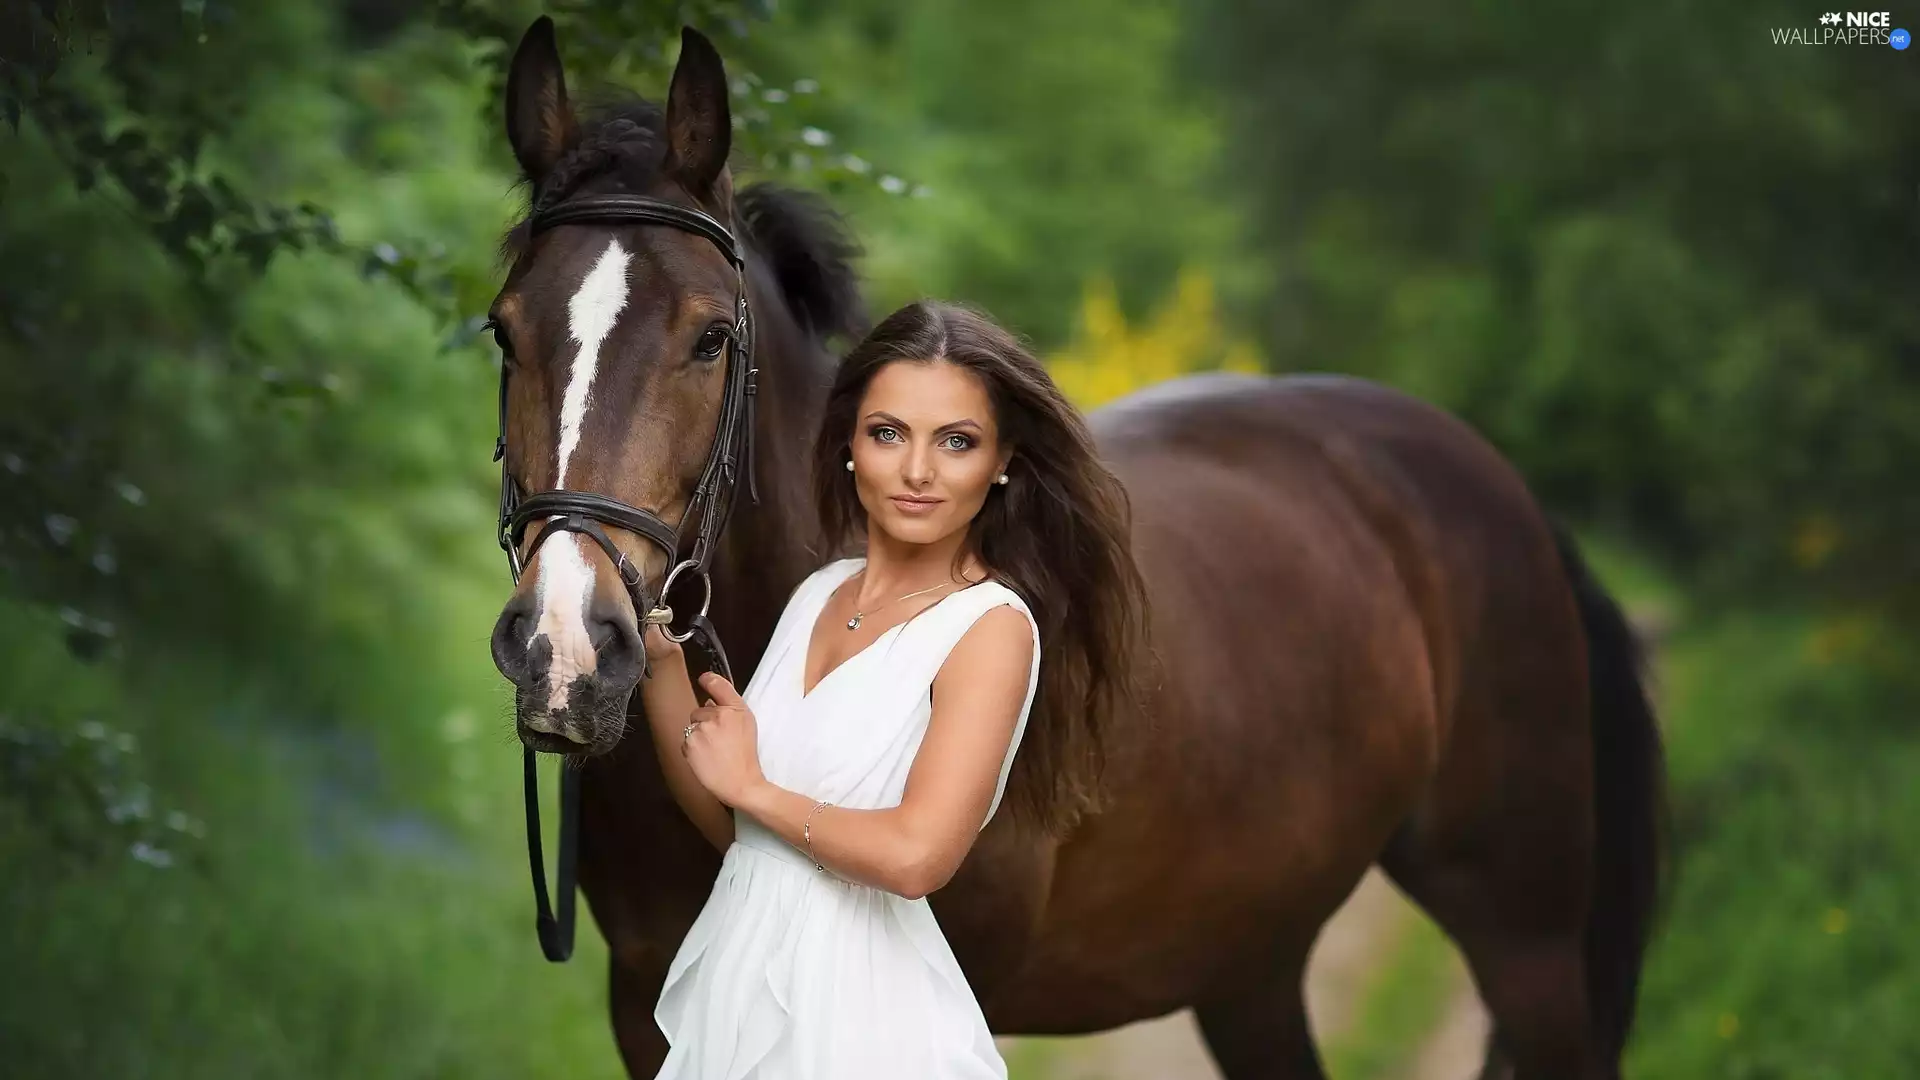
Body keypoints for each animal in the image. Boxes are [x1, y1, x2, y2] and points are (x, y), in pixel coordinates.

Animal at [482, 18, 1667, 1080]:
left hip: (1525, 938)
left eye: (711, 337)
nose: (565, 650)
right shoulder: (649, 1008)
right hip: (1249, 961)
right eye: (504, 329)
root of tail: (1497, 487)